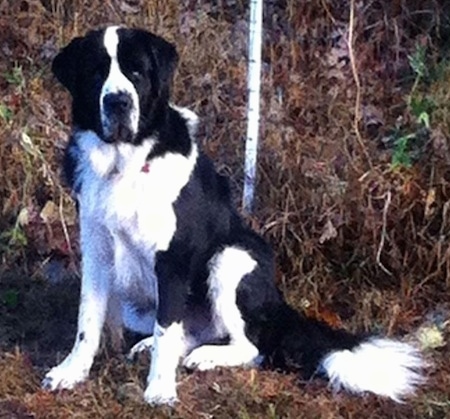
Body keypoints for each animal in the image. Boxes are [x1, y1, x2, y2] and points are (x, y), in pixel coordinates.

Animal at [42, 26, 426, 406]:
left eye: (136, 72)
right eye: (96, 74)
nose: (118, 102)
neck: (125, 162)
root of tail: (278, 303)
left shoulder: (173, 260)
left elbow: (166, 329)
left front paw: (160, 389)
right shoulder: (97, 252)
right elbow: (87, 321)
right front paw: (71, 372)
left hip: (230, 258)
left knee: (249, 345)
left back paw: (208, 357)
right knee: (188, 331)